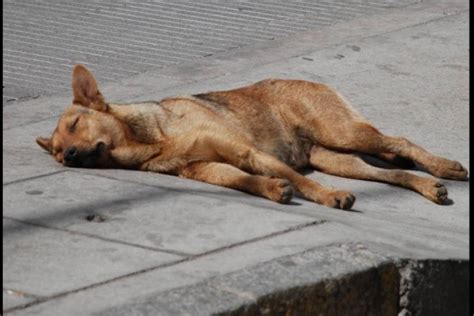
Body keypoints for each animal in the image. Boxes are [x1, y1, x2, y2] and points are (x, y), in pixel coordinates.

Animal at [36, 65, 466, 210]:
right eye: (55, 153)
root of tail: (308, 79)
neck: (154, 139)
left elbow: (300, 181)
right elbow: (247, 183)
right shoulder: (209, 169)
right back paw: (428, 186)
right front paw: (273, 190)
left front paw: (325, 196)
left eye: (75, 124)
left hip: (345, 133)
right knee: (392, 173)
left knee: (400, 141)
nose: (68, 156)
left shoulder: (246, 151)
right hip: (336, 157)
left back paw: (444, 167)